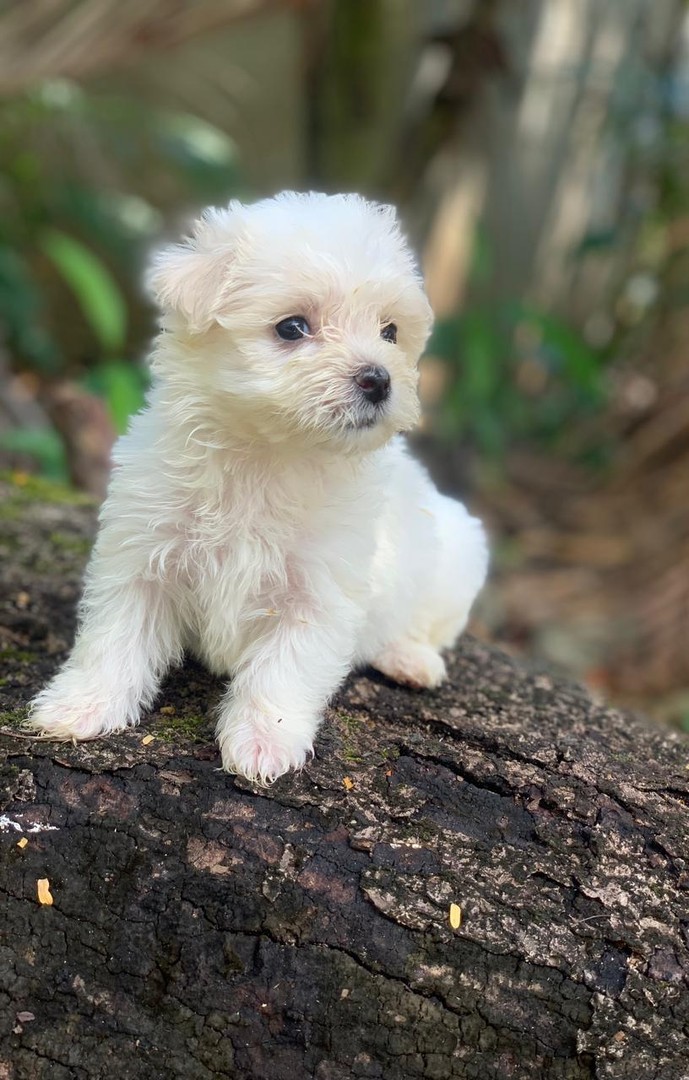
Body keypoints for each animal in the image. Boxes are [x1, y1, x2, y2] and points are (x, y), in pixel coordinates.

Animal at [28, 194, 492, 781]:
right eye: (292, 327)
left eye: (390, 331)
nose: (379, 379)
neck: (267, 457)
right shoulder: (141, 552)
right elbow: (114, 638)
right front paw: (81, 705)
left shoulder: (319, 590)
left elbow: (285, 668)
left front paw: (263, 741)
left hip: (457, 555)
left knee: (429, 626)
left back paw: (410, 658)